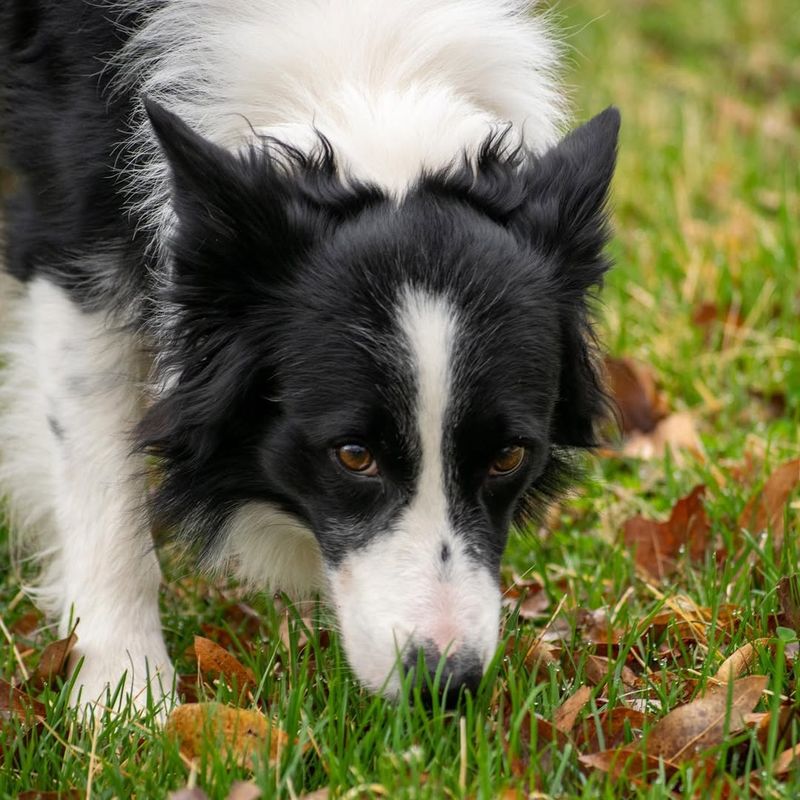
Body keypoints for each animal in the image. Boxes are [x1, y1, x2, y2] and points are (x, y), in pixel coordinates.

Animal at [0, 1, 620, 712]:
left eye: (510, 457)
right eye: (353, 456)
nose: (445, 686)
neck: (370, 61)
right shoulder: (74, 231)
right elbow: (100, 474)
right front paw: (123, 697)